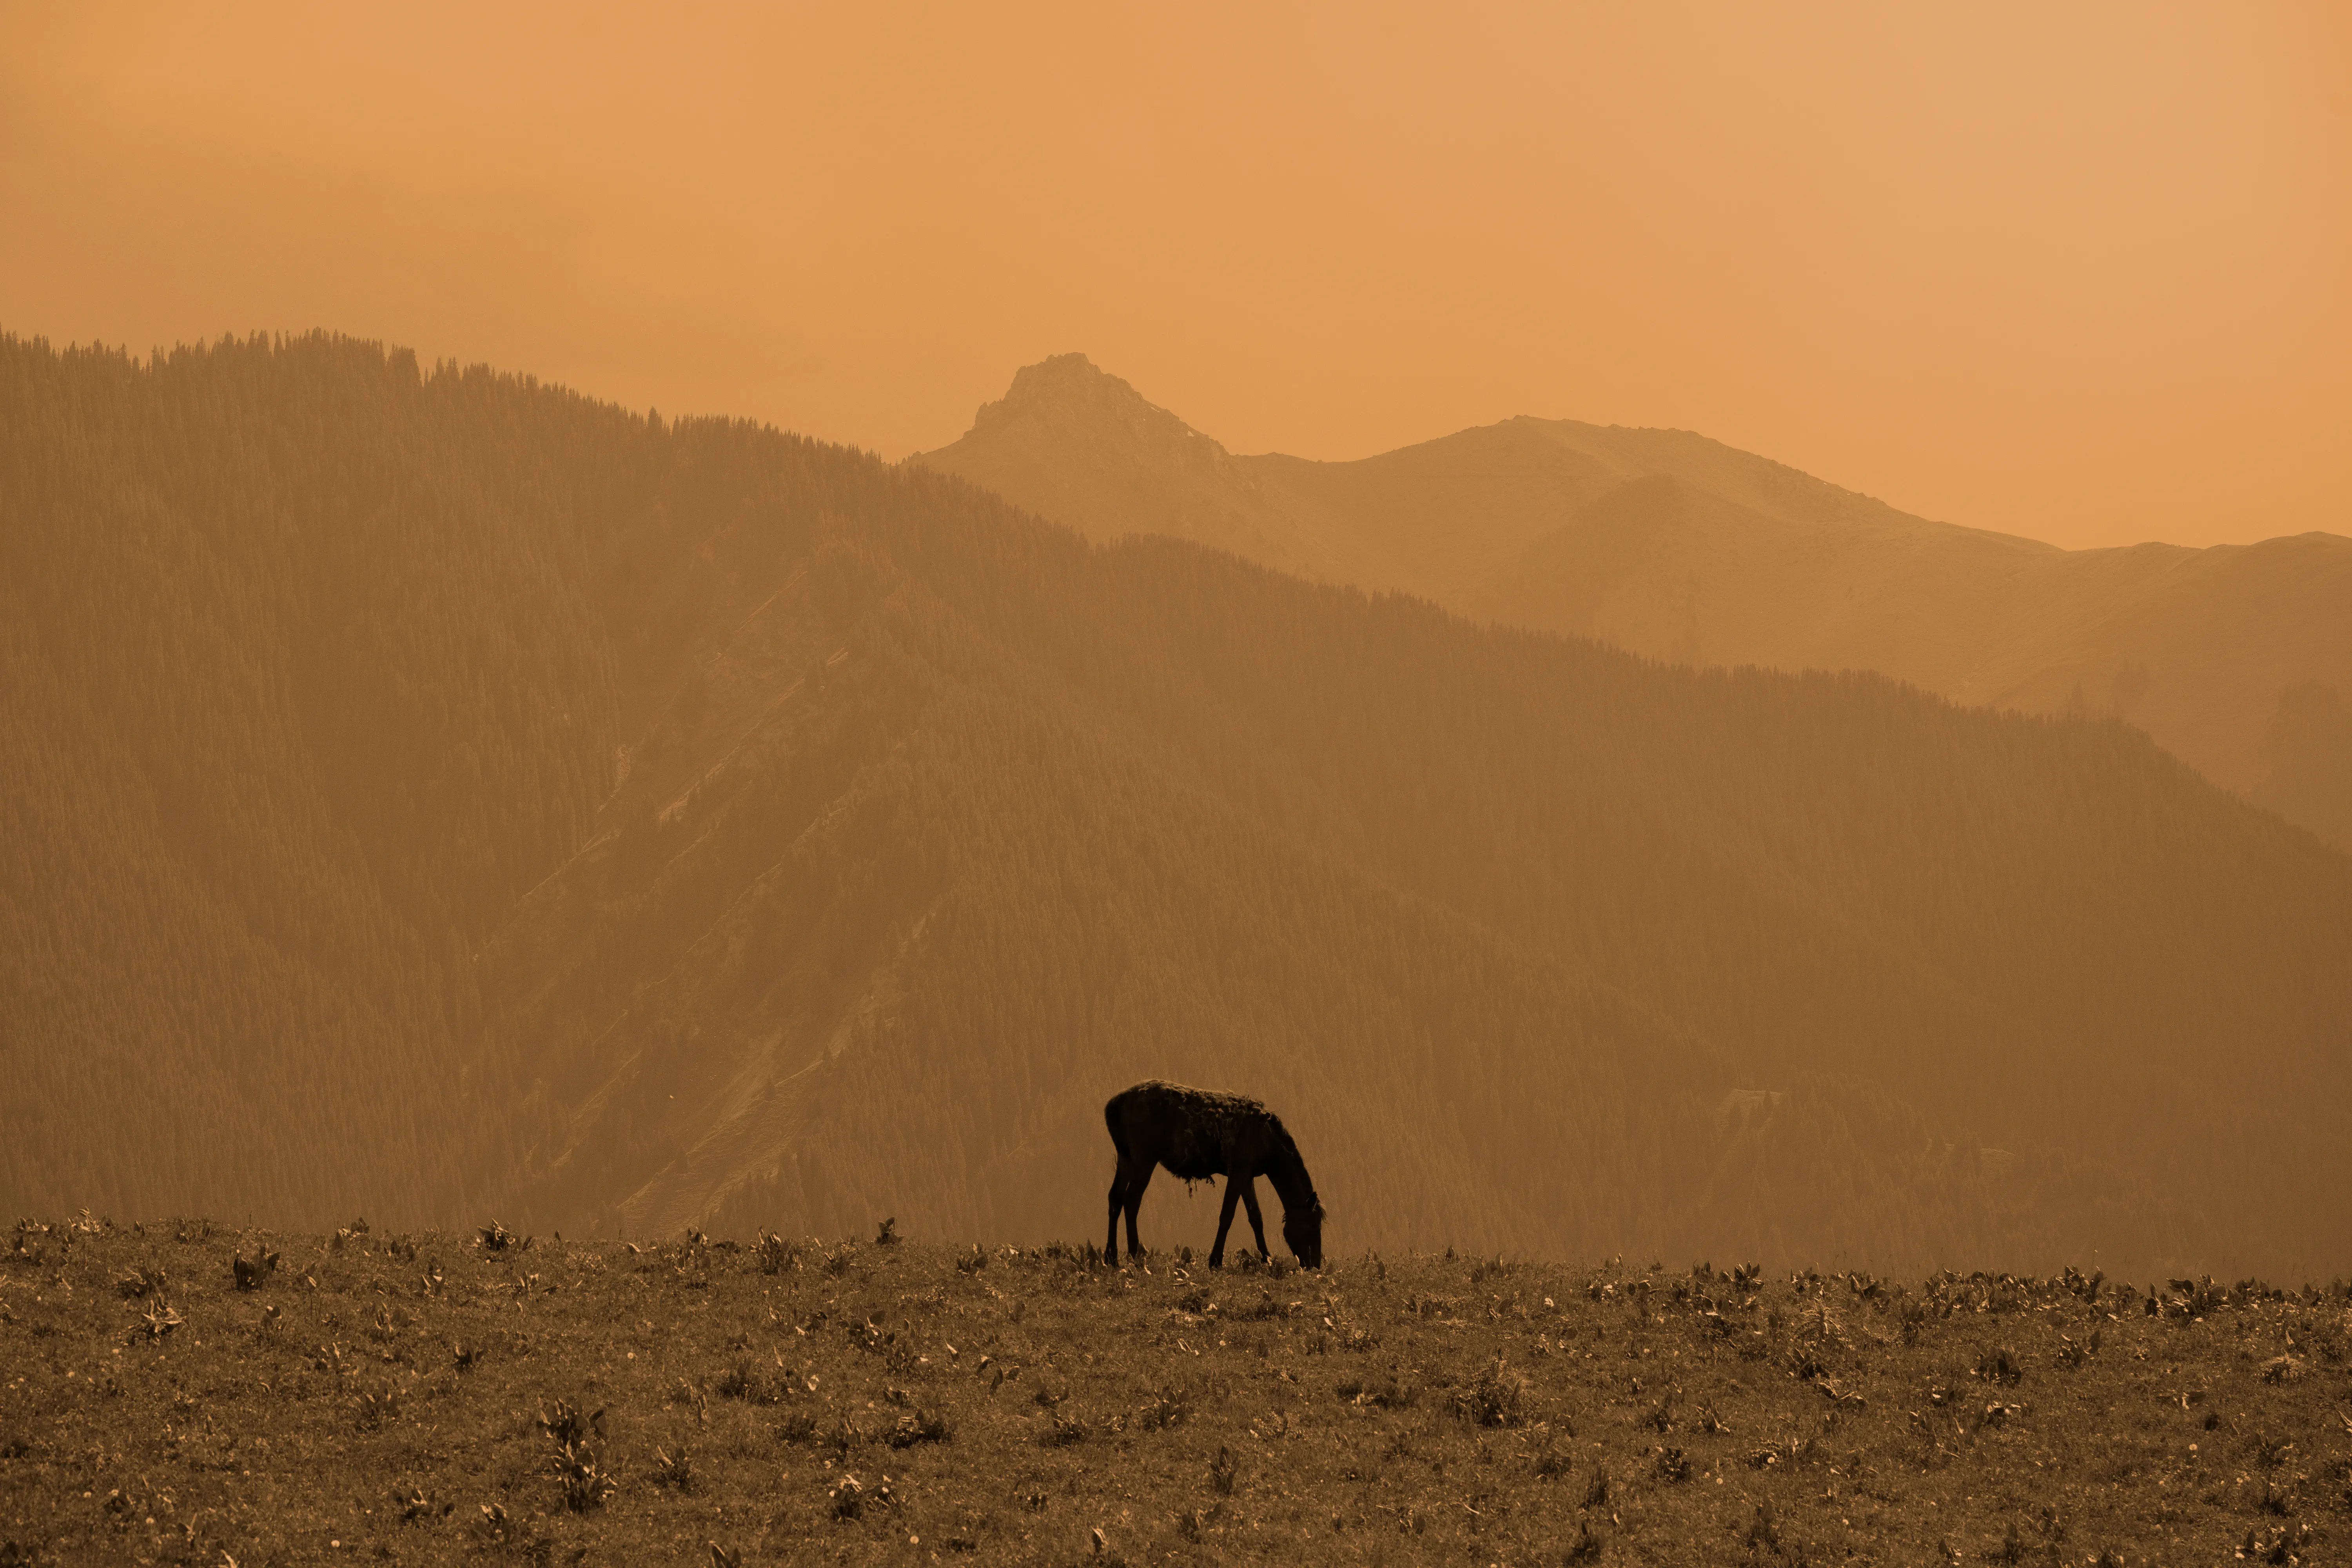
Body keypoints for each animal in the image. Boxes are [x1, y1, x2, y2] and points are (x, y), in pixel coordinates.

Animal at [1105, 1081, 1327, 1279]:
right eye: (1313, 1227)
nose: (1314, 1266)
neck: (1269, 1145)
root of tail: (1114, 1105)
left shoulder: (1247, 1175)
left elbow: (1256, 1217)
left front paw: (1267, 1258)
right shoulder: (1238, 1170)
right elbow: (1227, 1215)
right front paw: (1215, 1261)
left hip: (1126, 1156)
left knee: (1115, 1197)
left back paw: (1111, 1257)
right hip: (1145, 1158)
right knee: (1132, 1200)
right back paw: (1135, 1256)